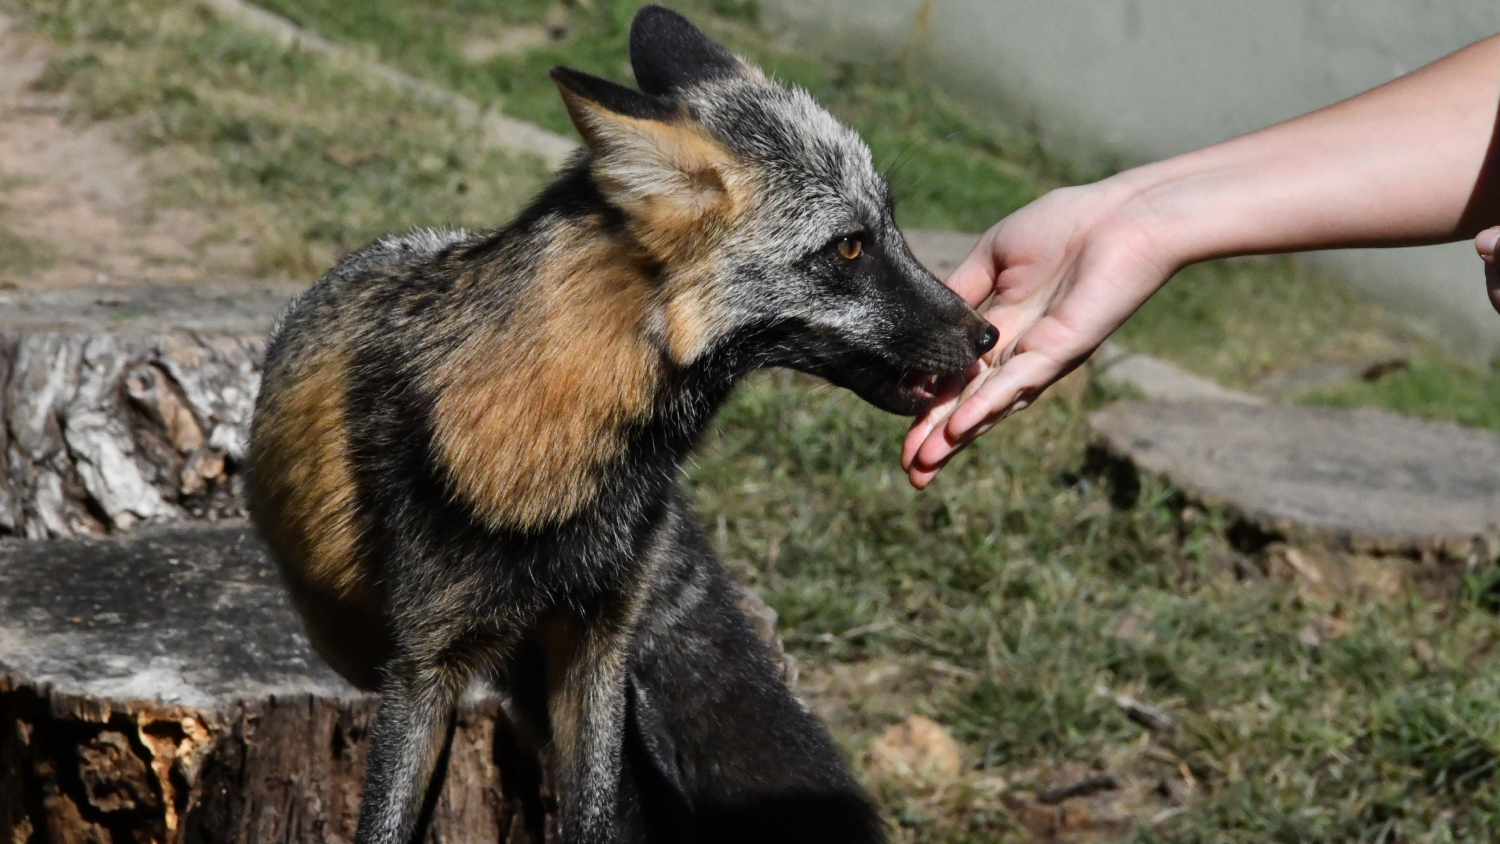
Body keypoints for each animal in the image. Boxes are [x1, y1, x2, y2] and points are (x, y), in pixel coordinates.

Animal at [247, 6, 997, 844]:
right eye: (850, 246)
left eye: (888, 227)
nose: (987, 335)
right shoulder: (423, 669)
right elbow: (385, 820)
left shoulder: (597, 640)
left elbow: (601, 811)